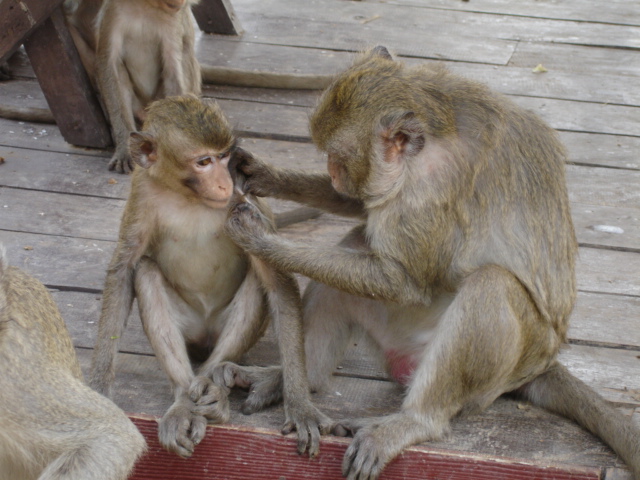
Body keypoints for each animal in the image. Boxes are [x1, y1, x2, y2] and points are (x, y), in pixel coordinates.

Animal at [89, 94, 330, 459]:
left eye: (224, 157)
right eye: (203, 162)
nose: (224, 183)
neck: (188, 195)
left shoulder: (243, 202)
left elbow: (276, 280)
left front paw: (300, 405)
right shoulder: (142, 189)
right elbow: (124, 270)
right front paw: (100, 388)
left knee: (254, 282)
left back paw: (213, 391)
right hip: (190, 331)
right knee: (146, 271)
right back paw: (183, 401)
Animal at [223, 46, 640, 480]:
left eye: (338, 156)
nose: (333, 173)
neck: (433, 128)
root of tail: (544, 363)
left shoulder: (431, 189)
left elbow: (402, 282)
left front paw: (261, 239)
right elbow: (361, 205)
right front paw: (267, 176)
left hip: (496, 372)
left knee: (490, 284)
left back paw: (415, 420)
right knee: (353, 250)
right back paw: (295, 380)